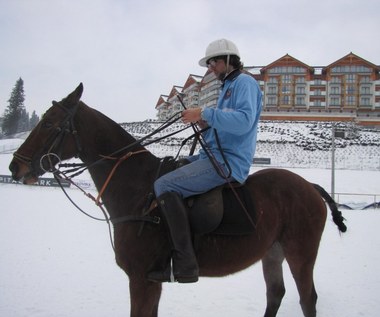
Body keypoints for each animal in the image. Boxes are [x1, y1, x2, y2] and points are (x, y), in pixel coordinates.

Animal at [9, 83, 348, 316]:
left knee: (307, 299)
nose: (15, 167)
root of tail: (309, 186)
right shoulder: (150, 282)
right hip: (273, 251)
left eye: (49, 122)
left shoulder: (142, 278)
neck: (136, 187)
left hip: (301, 251)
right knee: (276, 294)